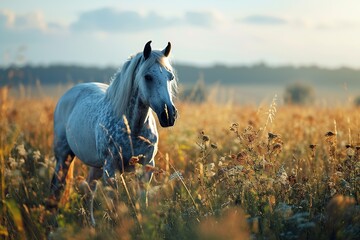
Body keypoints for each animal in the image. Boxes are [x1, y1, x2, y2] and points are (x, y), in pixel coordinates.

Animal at [48, 40, 178, 226]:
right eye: (148, 77)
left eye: (170, 77)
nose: (168, 115)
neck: (132, 129)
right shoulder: (110, 169)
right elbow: (115, 206)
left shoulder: (146, 167)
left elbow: (142, 202)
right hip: (63, 157)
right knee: (56, 189)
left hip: (95, 165)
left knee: (89, 190)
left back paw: (91, 225)